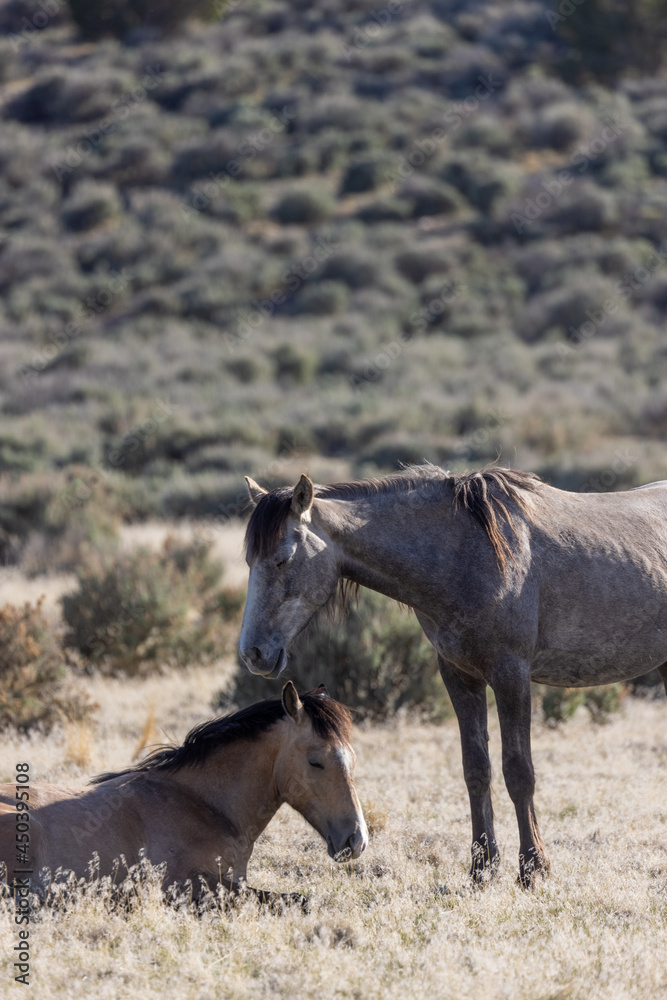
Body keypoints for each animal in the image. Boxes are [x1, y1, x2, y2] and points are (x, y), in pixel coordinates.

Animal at [239, 464, 667, 888]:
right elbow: (476, 769)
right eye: (249, 561)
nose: (252, 652)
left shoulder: (511, 675)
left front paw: (533, 868)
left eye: (283, 558)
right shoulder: (460, 675)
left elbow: (518, 772)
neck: (465, 555)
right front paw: (482, 868)